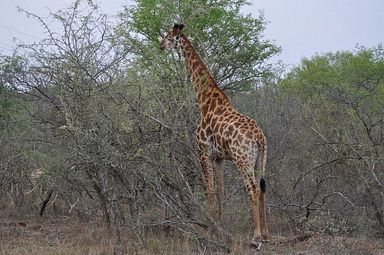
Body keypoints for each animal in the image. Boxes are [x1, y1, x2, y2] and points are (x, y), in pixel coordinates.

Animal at [159, 24, 270, 247]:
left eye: (169, 36)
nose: (160, 45)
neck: (205, 100)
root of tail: (259, 138)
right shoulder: (219, 157)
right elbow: (220, 191)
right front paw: (221, 225)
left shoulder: (203, 151)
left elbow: (209, 190)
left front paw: (212, 230)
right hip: (260, 158)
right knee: (262, 188)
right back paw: (266, 234)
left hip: (242, 159)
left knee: (253, 189)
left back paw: (255, 237)